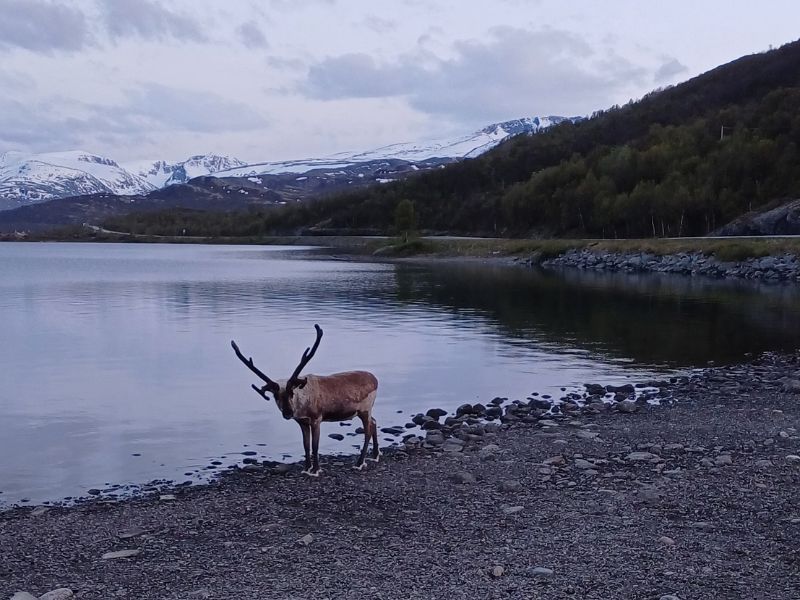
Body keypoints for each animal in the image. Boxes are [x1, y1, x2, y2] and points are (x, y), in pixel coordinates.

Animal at [230, 324, 380, 476]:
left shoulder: (316, 418)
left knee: (367, 430)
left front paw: (315, 470)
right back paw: (375, 455)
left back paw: (359, 463)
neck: (302, 407)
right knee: (374, 422)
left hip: (365, 409)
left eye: (292, 392)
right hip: (366, 410)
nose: (288, 413)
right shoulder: (302, 422)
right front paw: (306, 468)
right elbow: (306, 445)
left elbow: (315, 445)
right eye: (275, 396)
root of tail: (375, 379)